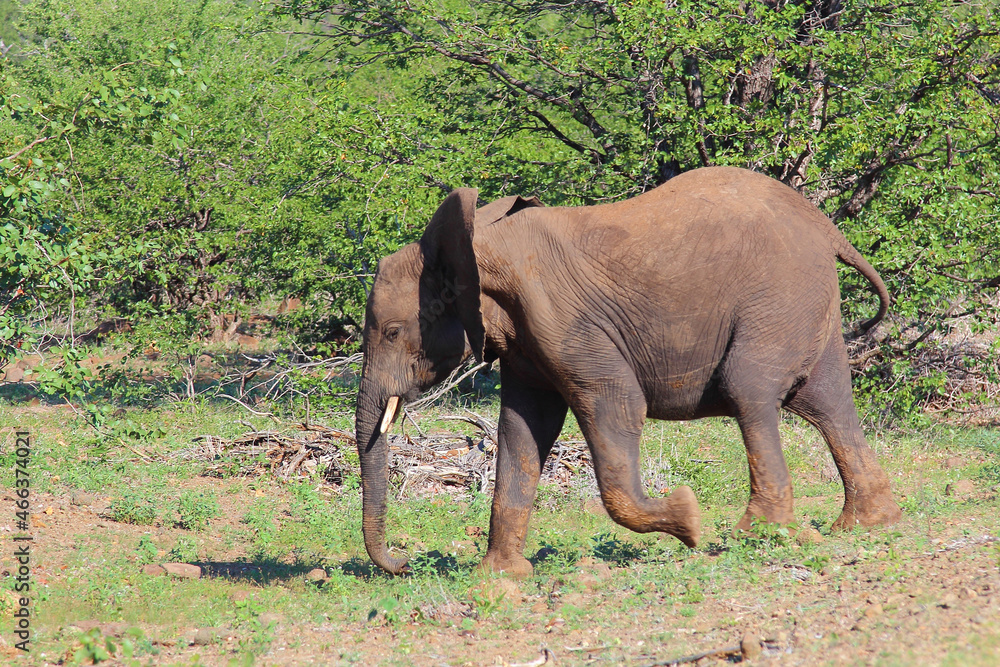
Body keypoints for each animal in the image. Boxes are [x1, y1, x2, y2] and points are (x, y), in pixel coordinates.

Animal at [356, 164, 904, 576]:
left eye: (391, 333)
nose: (404, 562)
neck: (481, 243)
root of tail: (828, 228)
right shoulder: (525, 339)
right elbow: (522, 429)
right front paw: (500, 576)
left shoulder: (565, 321)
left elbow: (616, 405)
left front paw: (689, 521)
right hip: (805, 304)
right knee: (827, 402)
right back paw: (867, 525)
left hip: (778, 298)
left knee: (750, 390)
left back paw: (761, 533)